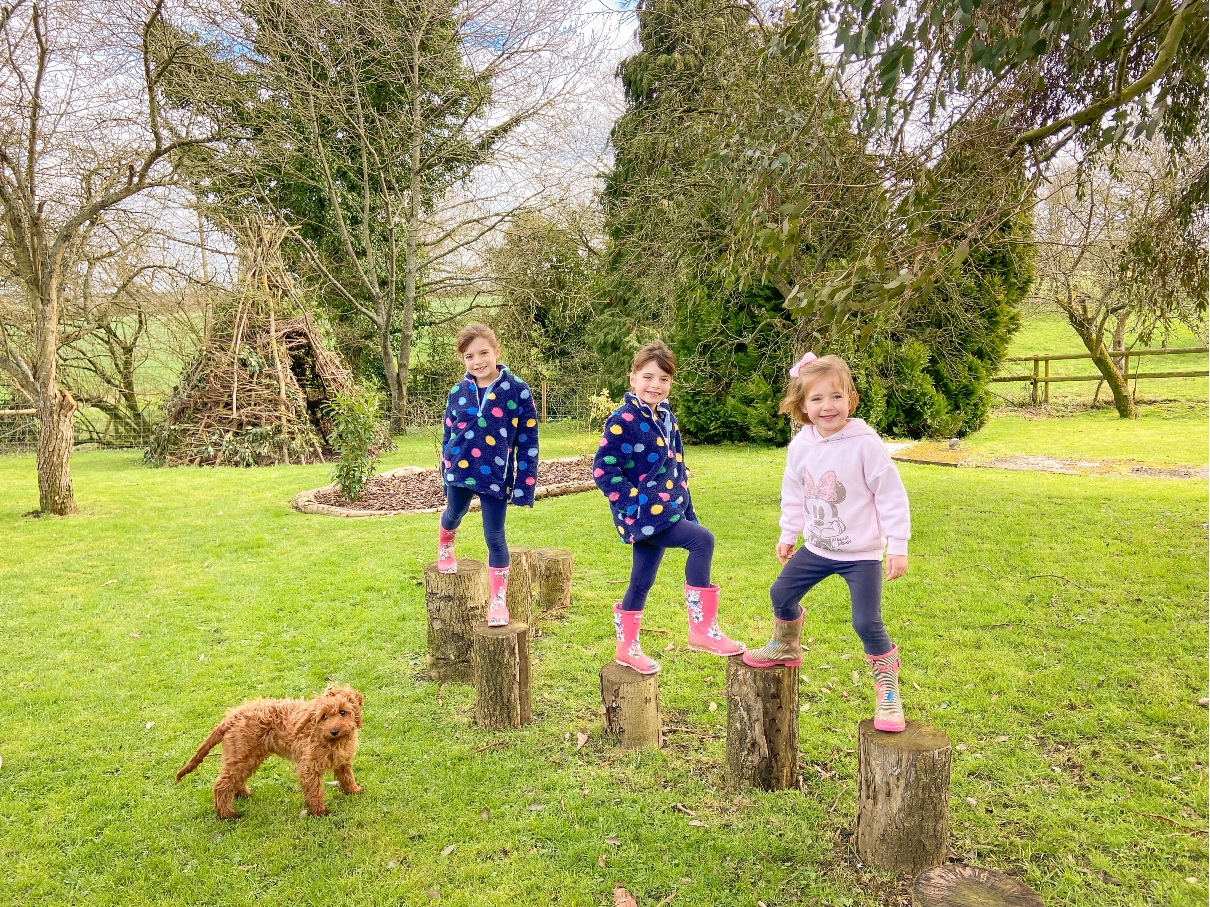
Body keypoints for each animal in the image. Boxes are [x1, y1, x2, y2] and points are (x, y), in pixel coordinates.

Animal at [175, 686, 363, 822]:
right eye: (324, 716)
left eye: (343, 712)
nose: (334, 731)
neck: (331, 741)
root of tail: (232, 716)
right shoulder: (309, 767)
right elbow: (315, 791)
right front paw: (319, 812)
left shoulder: (344, 761)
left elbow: (347, 777)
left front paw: (354, 791)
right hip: (243, 755)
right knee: (222, 785)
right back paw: (227, 814)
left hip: (246, 756)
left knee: (234, 780)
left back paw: (243, 794)